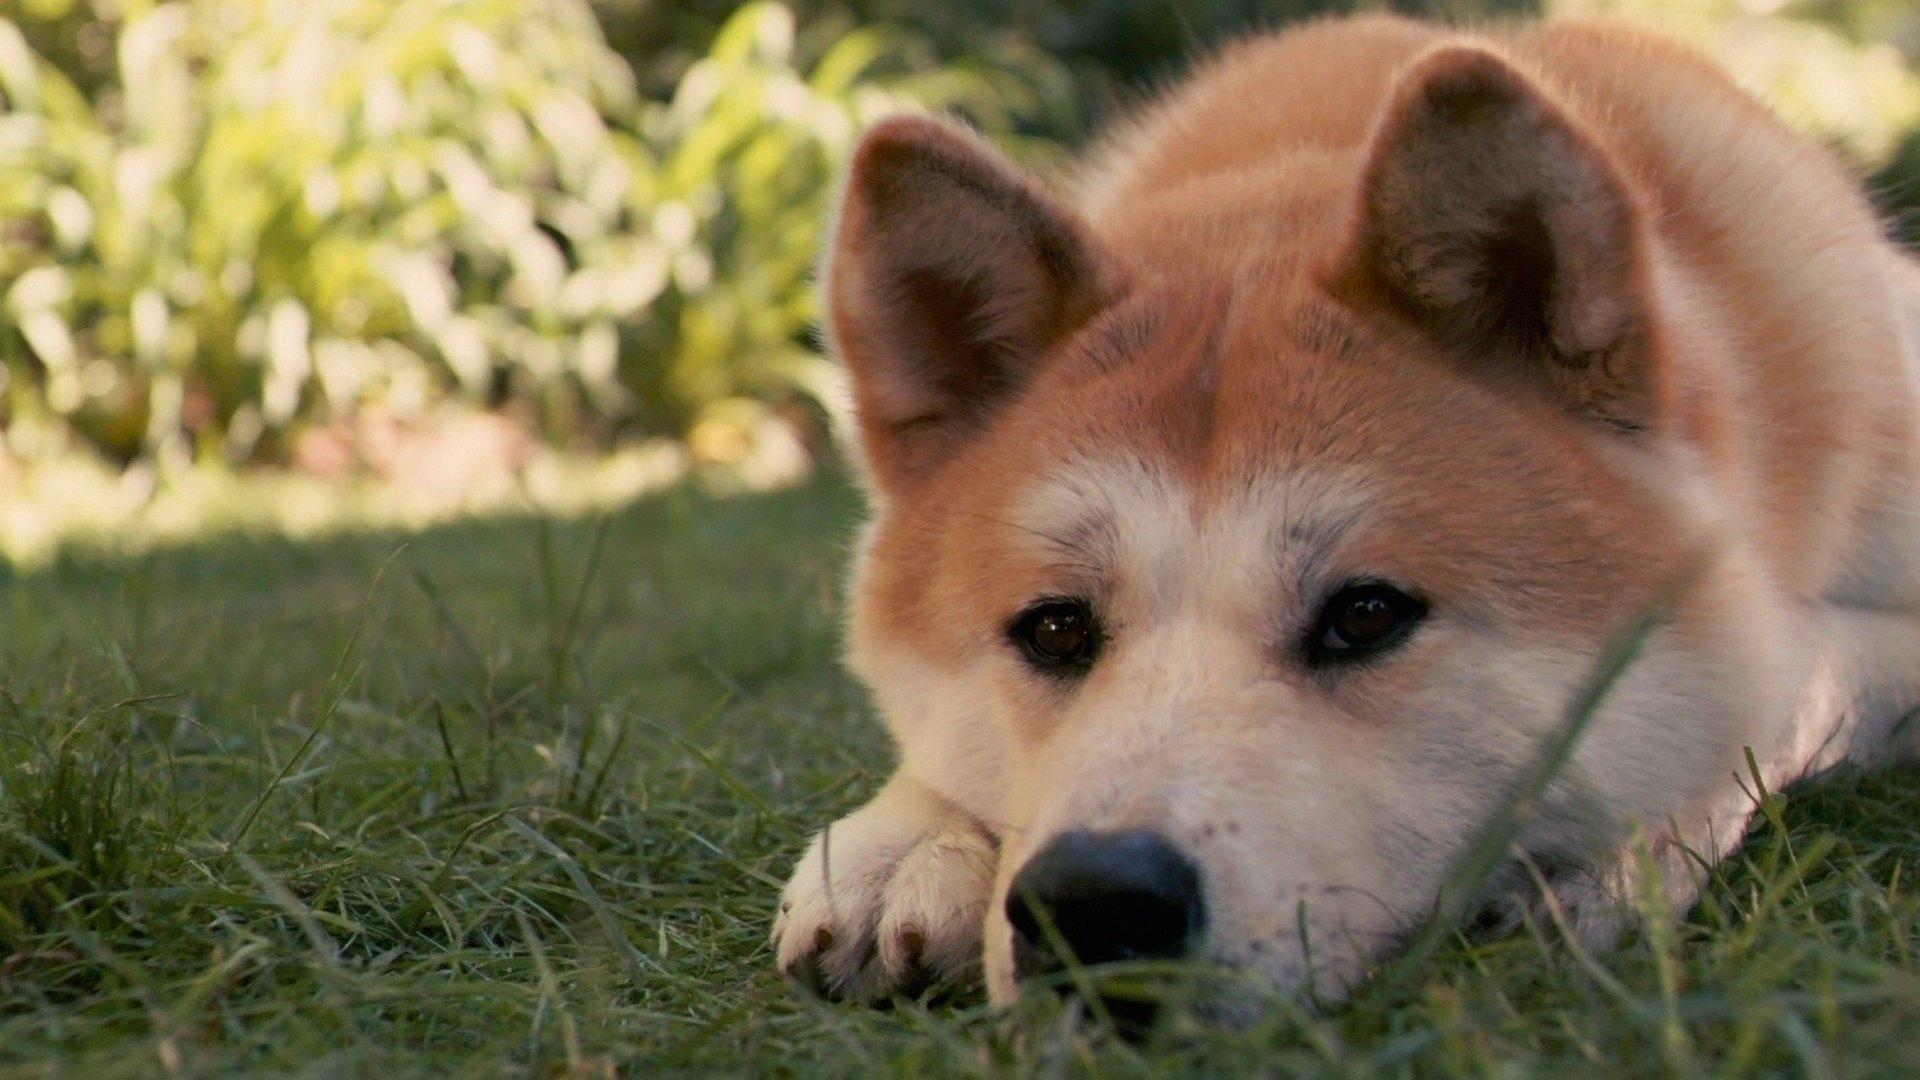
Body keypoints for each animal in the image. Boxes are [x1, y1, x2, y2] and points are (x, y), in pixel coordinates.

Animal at [764, 16, 1920, 1022]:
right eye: (1054, 629)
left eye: (1366, 615)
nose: (1094, 902)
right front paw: (908, 843)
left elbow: (1787, 682)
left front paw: (1616, 855)